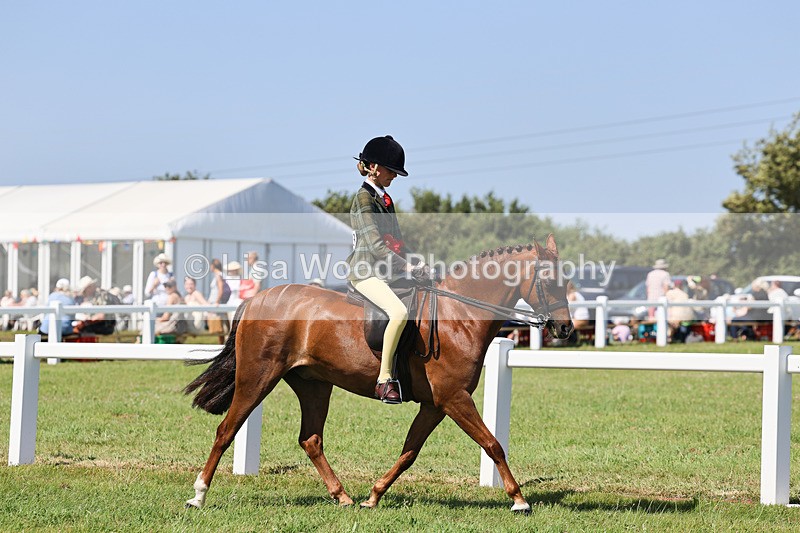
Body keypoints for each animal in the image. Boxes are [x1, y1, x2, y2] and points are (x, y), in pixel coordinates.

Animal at [184, 234, 573, 512]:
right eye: (550, 280)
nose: (566, 329)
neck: (458, 315)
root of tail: (256, 299)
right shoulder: (454, 398)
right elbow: (492, 444)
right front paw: (519, 500)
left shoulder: (436, 404)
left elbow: (409, 452)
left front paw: (373, 496)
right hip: (257, 378)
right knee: (226, 430)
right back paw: (198, 495)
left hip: (314, 385)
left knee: (311, 439)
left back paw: (342, 496)